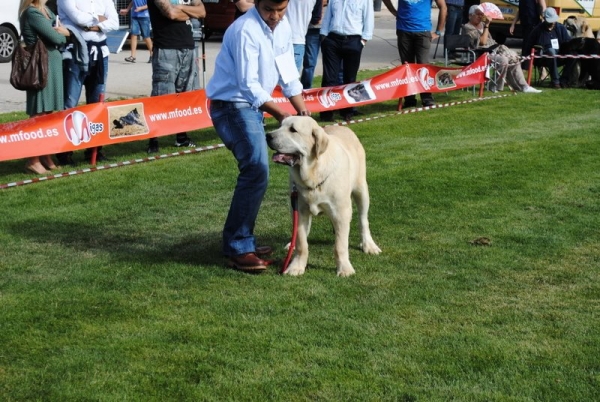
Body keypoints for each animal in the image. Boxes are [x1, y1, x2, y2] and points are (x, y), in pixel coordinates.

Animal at [266, 116, 382, 276]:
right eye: (280, 125)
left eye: (293, 130)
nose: (268, 136)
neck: (312, 175)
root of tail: (344, 127)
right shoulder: (299, 209)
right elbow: (302, 243)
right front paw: (296, 266)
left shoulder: (341, 212)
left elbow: (340, 245)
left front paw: (344, 268)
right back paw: (291, 244)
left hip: (361, 190)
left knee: (363, 220)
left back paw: (368, 245)